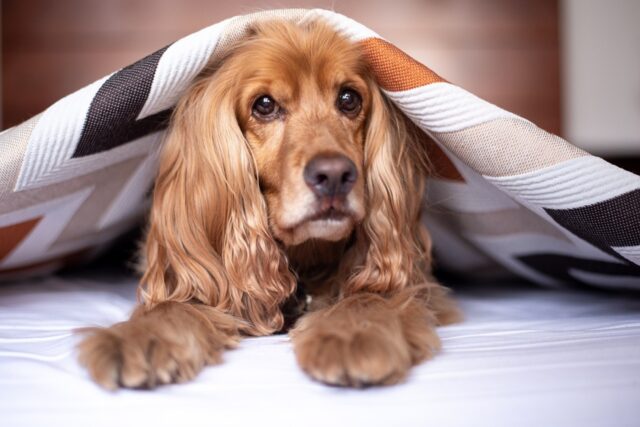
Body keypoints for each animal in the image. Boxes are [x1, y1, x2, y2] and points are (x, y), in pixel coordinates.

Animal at [77, 18, 460, 390]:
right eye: (264, 105)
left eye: (349, 99)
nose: (335, 175)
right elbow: (175, 304)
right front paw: (137, 336)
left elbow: (373, 294)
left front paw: (352, 333)